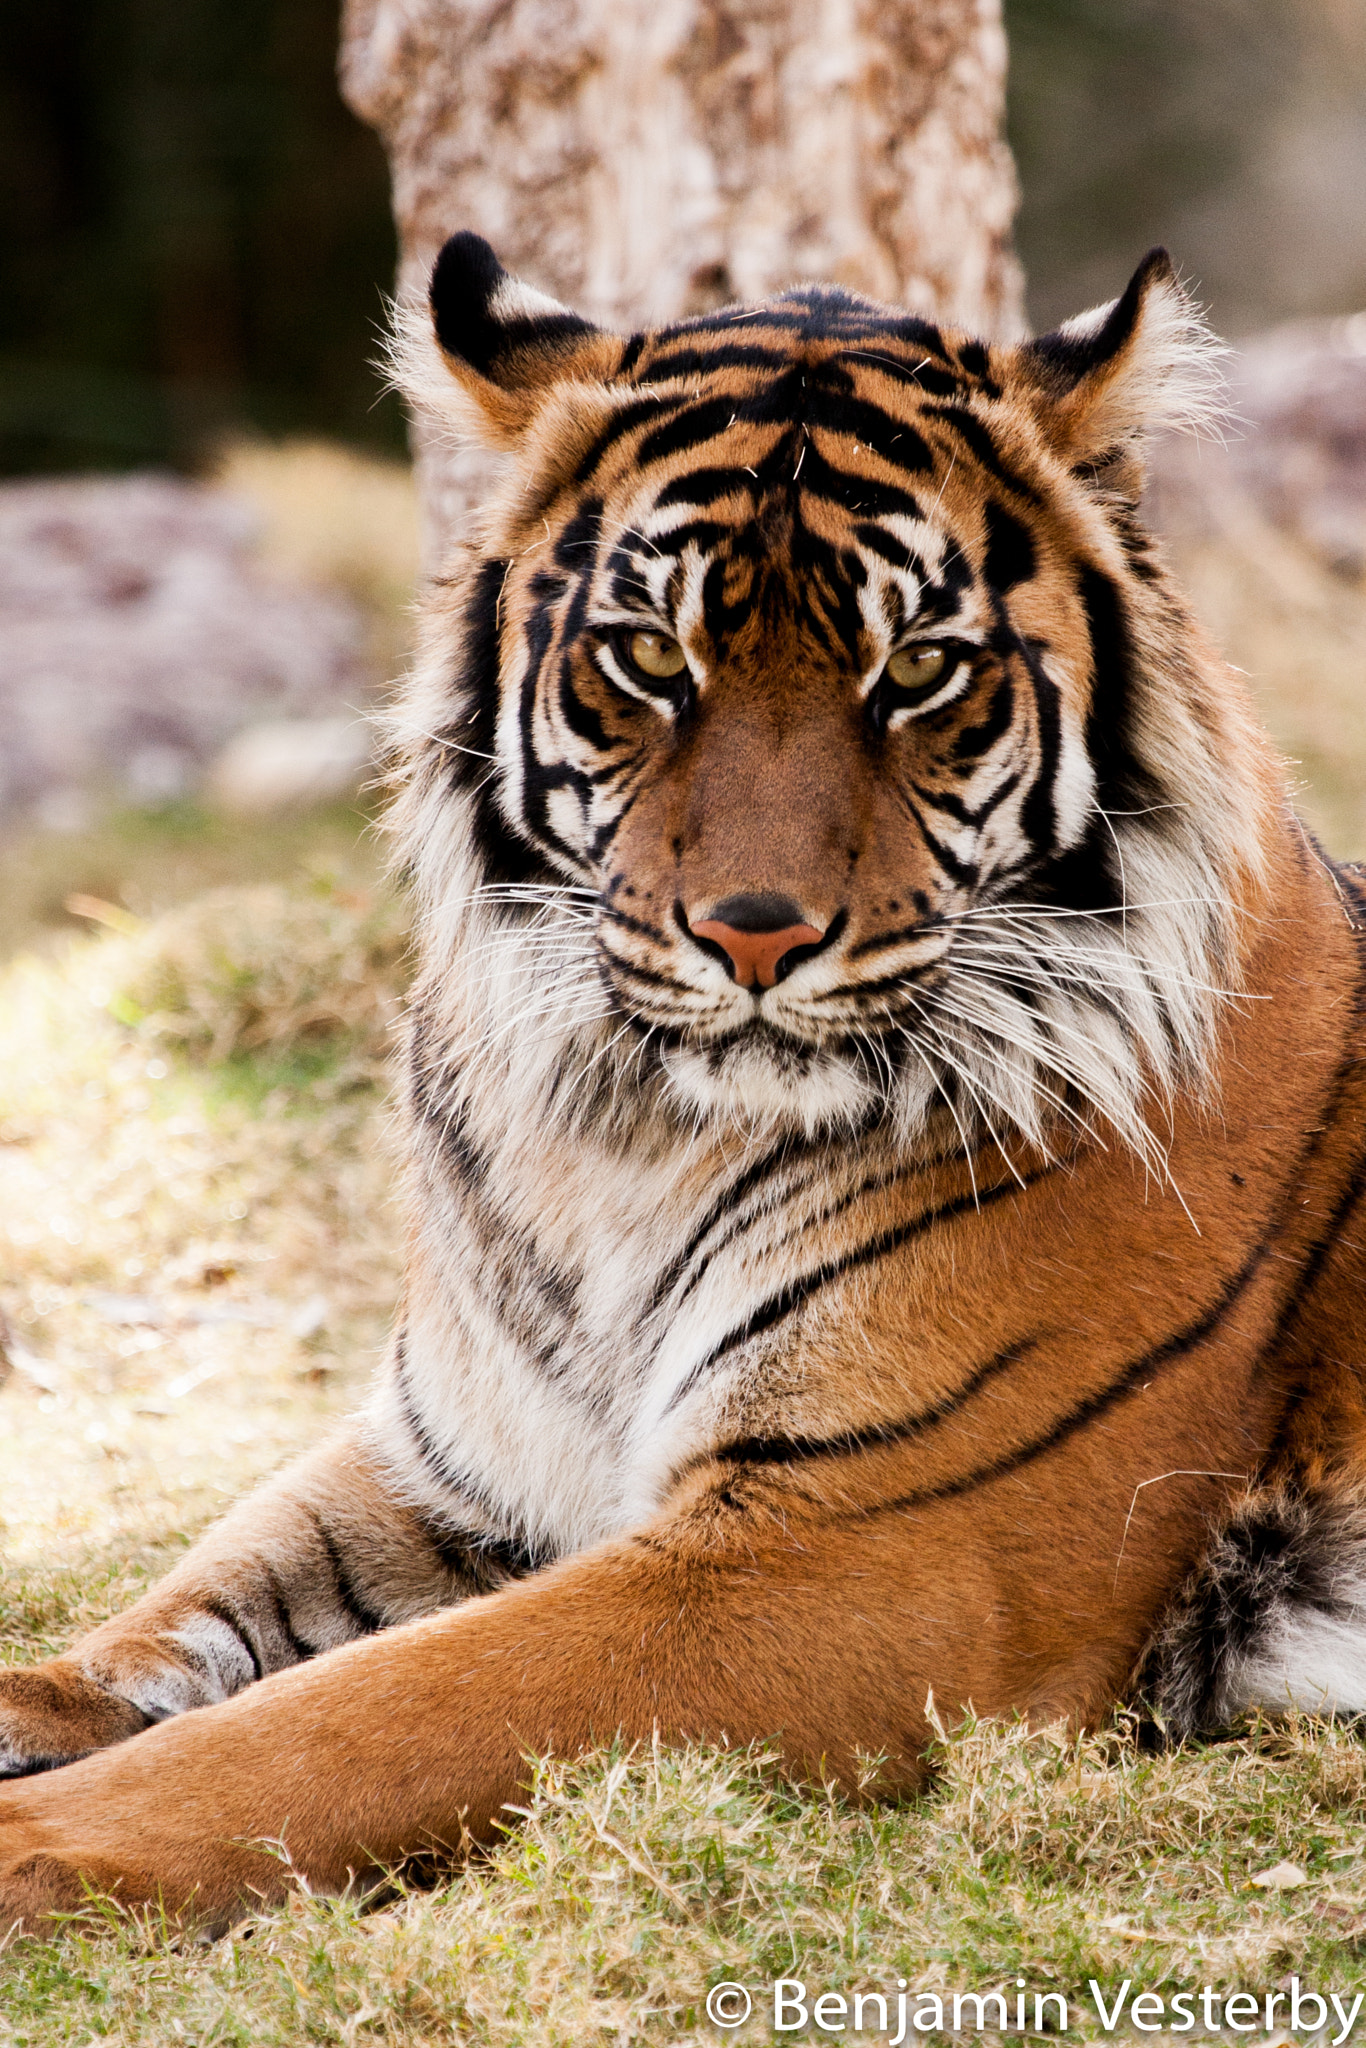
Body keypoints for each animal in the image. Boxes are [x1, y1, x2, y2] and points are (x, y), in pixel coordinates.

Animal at [4, 231, 1366, 1936]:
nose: (753, 932)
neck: (624, 1136)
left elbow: (345, 1721)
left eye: (917, 671)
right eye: (649, 656)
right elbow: (188, 1612)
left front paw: (30, 1845)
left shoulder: (863, 1549)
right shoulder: (457, 1459)